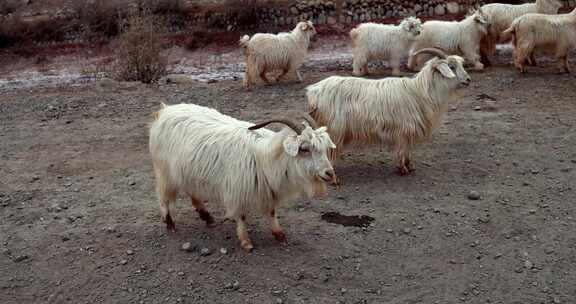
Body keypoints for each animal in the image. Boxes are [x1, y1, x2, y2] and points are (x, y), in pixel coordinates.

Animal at [150, 102, 338, 252]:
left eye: (324, 148)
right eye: (305, 149)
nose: (329, 173)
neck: (265, 158)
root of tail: (164, 111)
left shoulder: (268, 191)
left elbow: (272, 212)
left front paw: (279, 234)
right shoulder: (237, 190)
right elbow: (241, 215)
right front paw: (246, 242)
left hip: (187, 171)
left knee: (192, 191)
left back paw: (207, 217)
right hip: (165, 171)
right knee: (163, 196)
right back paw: (169, 223)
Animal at [308, 48, 470, 175]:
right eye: (451, 66)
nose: (468, 80)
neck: (420, 92)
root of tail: (314, 91)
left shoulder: (409, 130)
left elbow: (408, 149)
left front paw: (410, 166)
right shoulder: (403, 129)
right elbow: (403, 148)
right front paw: (402, 168)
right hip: (335, 127)